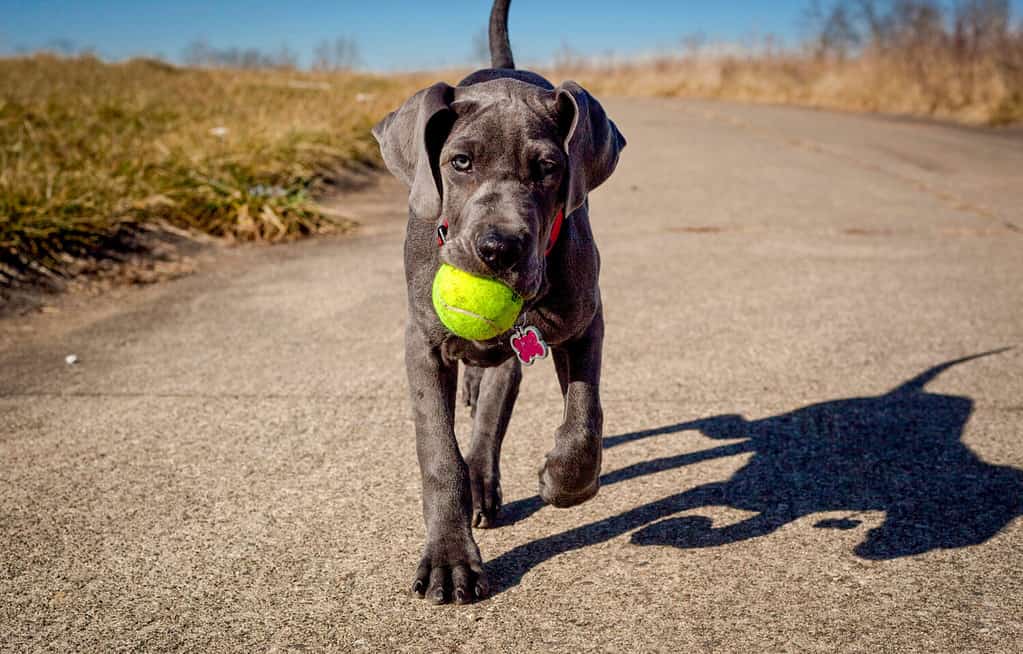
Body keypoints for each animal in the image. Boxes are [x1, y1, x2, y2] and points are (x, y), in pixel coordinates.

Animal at [368, 0, 621, 605]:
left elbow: (584, 420)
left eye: (549, 168)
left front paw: (562, 480)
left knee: (492, 410)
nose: (498, 248)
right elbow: (440, 455)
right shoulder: (421, 344)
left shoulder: (585, 322)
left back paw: (486, 474)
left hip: (516, 349)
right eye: (460, 162)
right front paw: (449, 560)